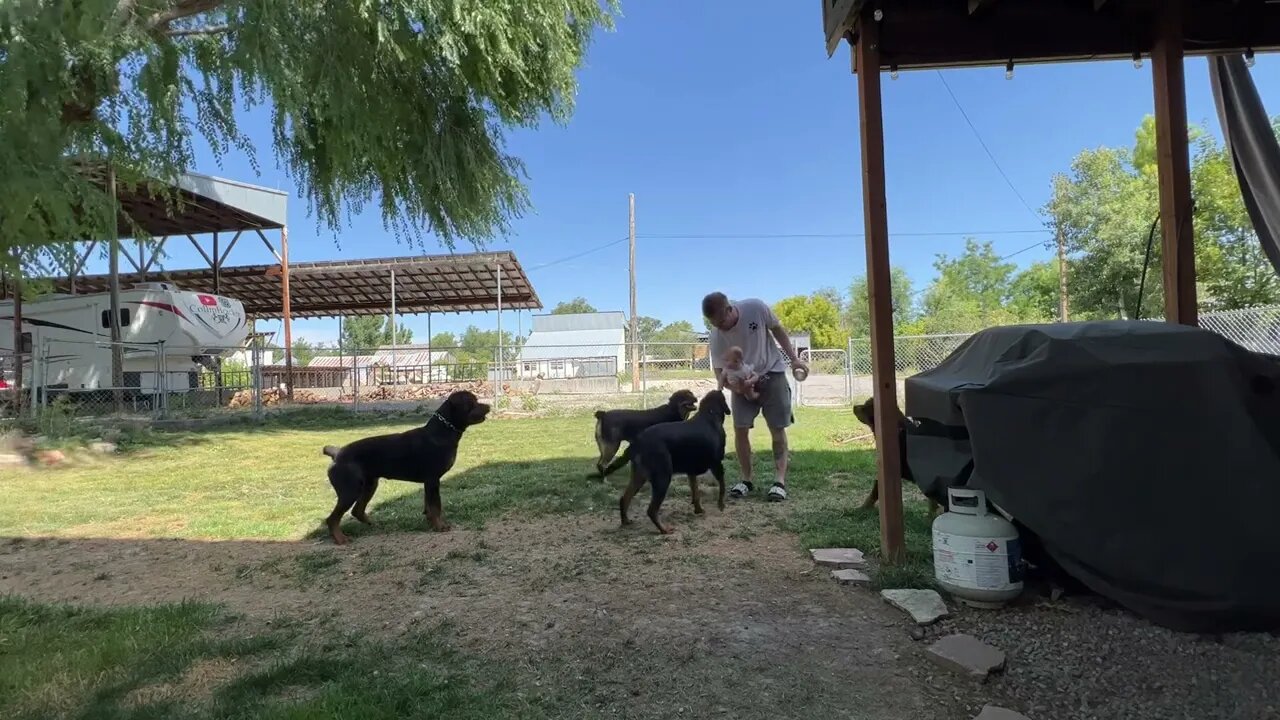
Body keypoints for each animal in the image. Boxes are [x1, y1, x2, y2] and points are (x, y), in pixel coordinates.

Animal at [322, 389, 491, 540]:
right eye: (473, 402)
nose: (489, 406)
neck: (440, 433)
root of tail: (337, 454)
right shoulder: (432, 479)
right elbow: (436, 506)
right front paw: (440, 526)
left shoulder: (429, 482)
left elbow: (429, 507)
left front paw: (431, 523)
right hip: (350, 489)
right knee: (332, 518)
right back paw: (341, 539)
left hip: (369, 484)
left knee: (357, 510)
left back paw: (375, 525)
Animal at [609, 386, 732, 532]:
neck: (710, 415)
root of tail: (637, 442)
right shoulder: (716, 464)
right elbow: (722, 486)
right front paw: (721, 505)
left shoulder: (691, 470)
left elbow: (696, 492)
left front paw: (698, 510)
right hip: (663, 477)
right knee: (651, 510)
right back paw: (664, 530)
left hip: (639, 475)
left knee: (625, 498)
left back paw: (626, 521)